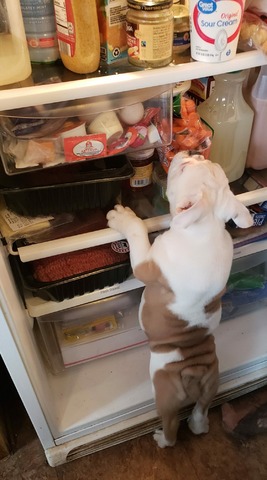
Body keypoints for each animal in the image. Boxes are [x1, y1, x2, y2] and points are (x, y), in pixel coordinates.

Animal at [107, 152, 253, 448]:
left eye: (183, 168)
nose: (191, 153)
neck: (207, 225)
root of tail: (194, 368)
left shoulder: (146, 265)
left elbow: (137, 234)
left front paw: (124, 219)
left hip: (164, 393)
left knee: (172, 426)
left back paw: (163, 439)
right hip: (211, 385)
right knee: (199, 417)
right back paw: (200, 423)